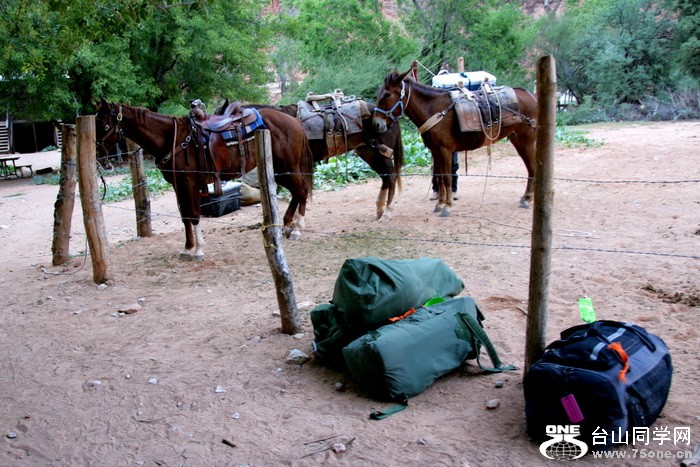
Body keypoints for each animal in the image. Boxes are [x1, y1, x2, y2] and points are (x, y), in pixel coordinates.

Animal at [94, 100, 314, 260]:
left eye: (104, 125)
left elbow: (193, 215)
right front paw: (187, 248)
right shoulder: (177, 185)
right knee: (296, 192)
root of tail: (294, 121)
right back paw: (286, 225)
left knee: (301, 191)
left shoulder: (188, 183)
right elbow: (185, 217)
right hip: (278, 171)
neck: (172, 138)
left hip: (289, 167)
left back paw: (297, 228)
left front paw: (198, 250)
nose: (98, 155)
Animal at [212, 98, 404, 221]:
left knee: (391, 177)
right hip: (369, 153)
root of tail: (389, 117)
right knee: (386, 178)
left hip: (380, 153)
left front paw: (294, 223)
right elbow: (299, 191)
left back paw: (387, 212)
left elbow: (300, 191)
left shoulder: (288, 168)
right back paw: (380, 210)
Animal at [374, 64, 540, 218]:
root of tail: (531, 96)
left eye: (387, 94)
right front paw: (440, 204)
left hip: (526, 141)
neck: (435, 110)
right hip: (516, 140)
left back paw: (527, 198)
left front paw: (447, 206)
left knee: (532, 168)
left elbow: (447, 178)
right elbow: (440, 178)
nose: (376, 123)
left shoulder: (445, 150)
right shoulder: (435, 151)